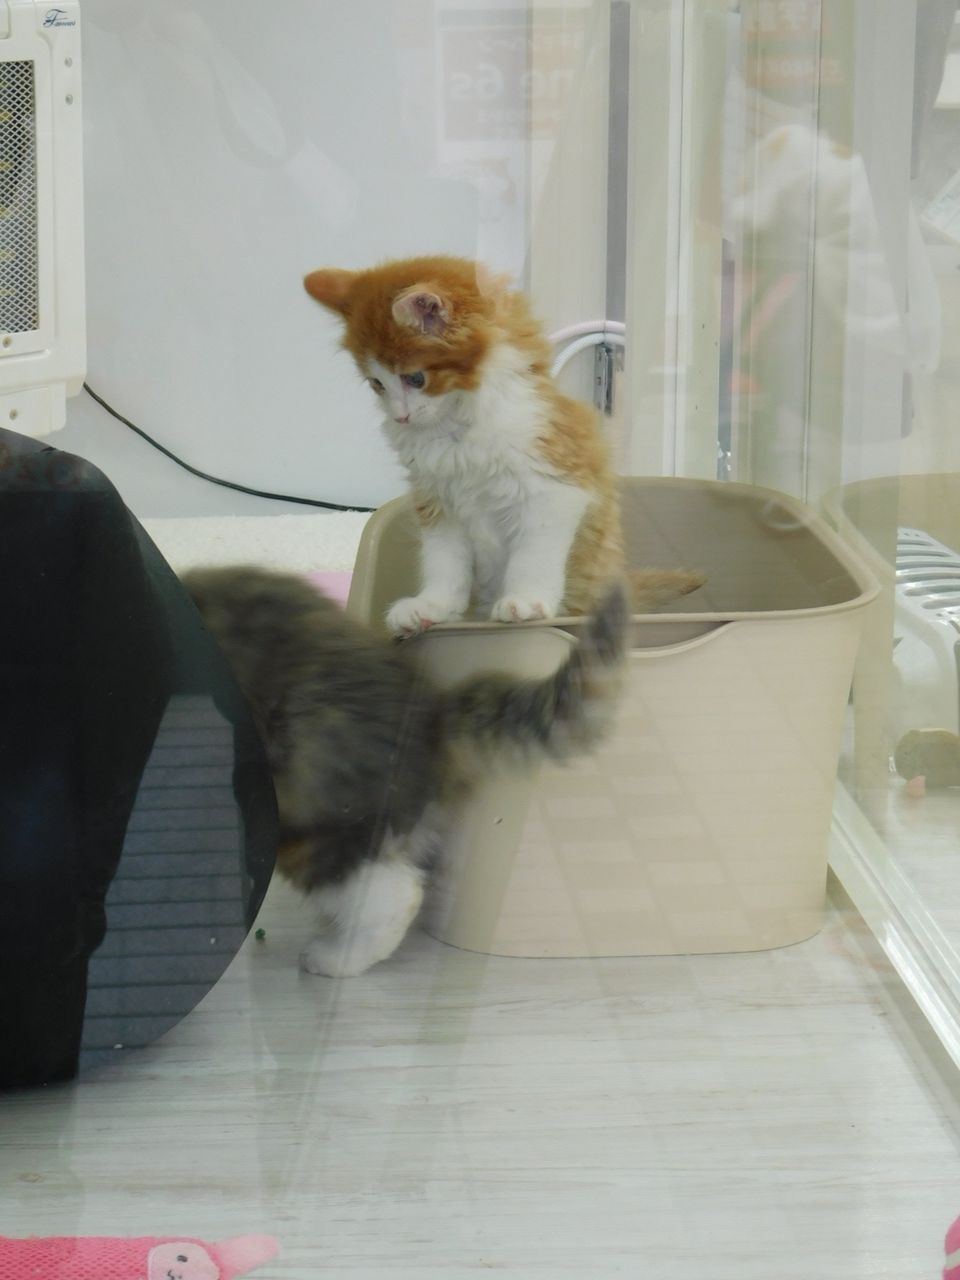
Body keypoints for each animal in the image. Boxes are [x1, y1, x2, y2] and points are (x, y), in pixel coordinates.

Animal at [302, 255, 704, 636]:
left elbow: (533, 556)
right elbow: (444, 561)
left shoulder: (553, 486)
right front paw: (433, 606)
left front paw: (525, 600)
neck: (456, 427)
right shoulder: (438, 502)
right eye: (377, 384)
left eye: (415, 378)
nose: (401, 417)